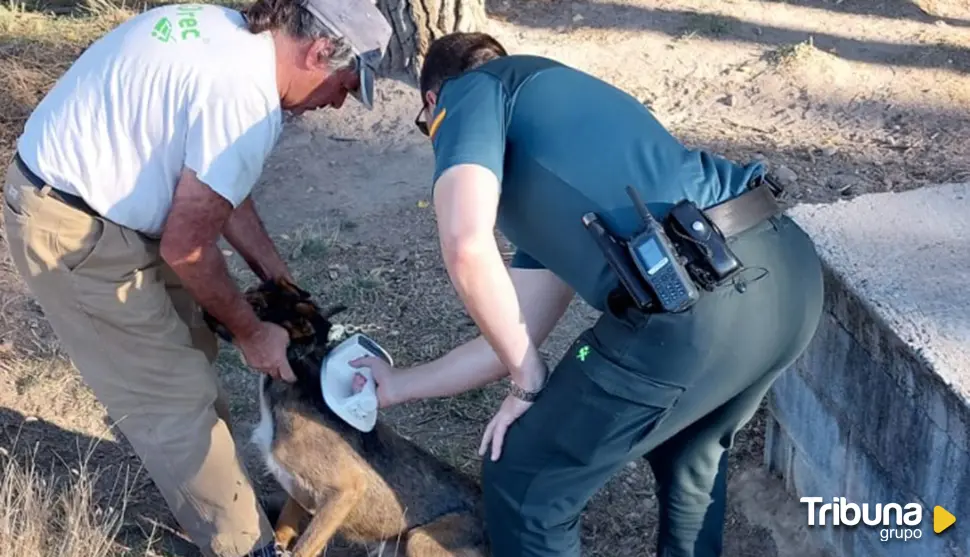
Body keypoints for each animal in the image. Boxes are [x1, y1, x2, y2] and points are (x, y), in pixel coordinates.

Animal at [199, 278, 484, 556]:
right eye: (248, 291)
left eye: (255, 307)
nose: (204, 306)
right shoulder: (298, 490)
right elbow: (284, 527)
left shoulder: (346, 490)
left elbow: (304, 548)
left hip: (419, 540)